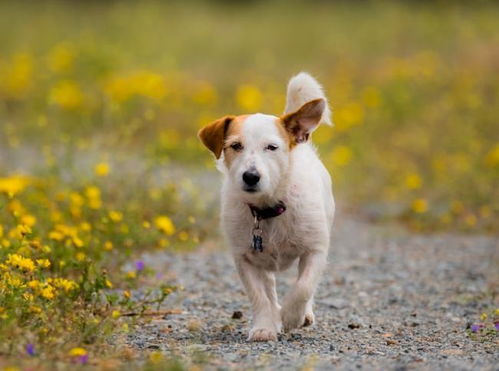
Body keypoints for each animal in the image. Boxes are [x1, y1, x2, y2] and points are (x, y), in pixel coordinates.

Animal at [197, 72, 334, 342]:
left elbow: (303, 287)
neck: (269, 208)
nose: (251, 176)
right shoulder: (245, 258)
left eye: (272, 147)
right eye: (236, 145)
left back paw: (303, 315)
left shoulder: (315, 250)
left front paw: (291, 316)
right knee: (269, 288)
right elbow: (259, 296)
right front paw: (265, 326)